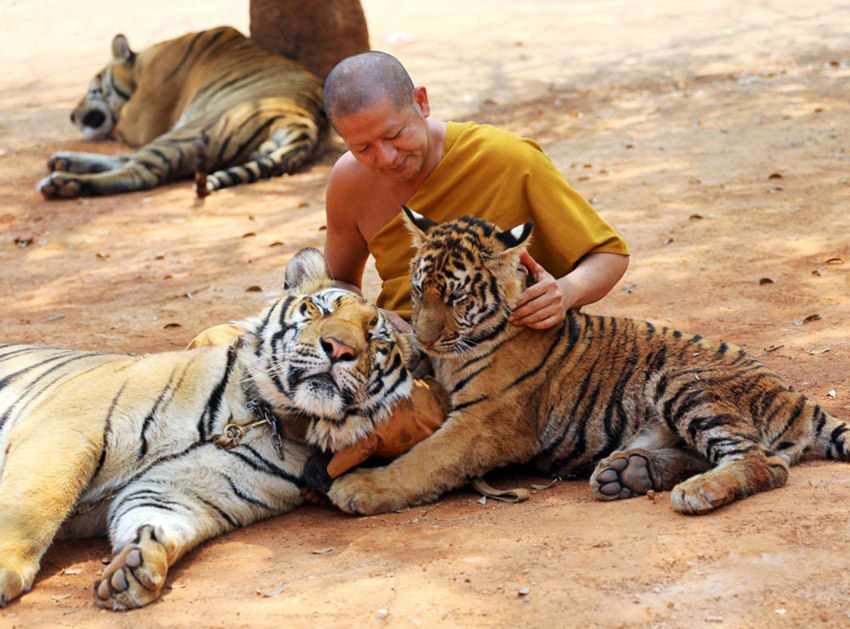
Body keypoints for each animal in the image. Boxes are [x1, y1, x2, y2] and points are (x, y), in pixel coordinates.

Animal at [0, 249, 412, 608]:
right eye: (319, 309)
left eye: (374, 337)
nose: (339, 347)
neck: (267, 415)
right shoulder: (69, 429)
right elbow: (32, 509)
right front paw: (5, 572)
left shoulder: (183, 489)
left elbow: (157, 518)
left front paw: (136, 565)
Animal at [35, 26, 324, 199]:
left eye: (91, 90)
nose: (72, 116)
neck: (140, 65)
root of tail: (305, 123)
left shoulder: (140, 119)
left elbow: (116, 127)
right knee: (130, 161)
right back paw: (64, 161)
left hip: (190, 131)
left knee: (141, 172)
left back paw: (62, 183)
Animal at [326, 207, 848, 516]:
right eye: (418, 290)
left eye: (455, 297)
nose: (426, 338)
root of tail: (799, 398)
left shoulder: (484, 421)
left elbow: (425, 458)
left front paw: (360, 488)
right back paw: (630, 472)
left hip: (685, 382)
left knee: (764, 462)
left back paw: (694, 491)